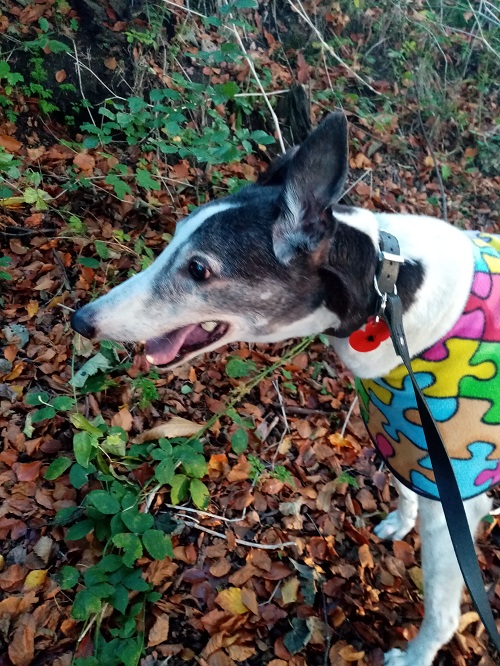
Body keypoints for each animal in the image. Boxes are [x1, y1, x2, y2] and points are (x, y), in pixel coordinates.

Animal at [71, 114, 500, 664]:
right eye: (171, 242)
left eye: (198, 268)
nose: (82, 321)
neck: (391, 290)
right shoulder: (410, 442)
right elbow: (408, 489)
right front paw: (399, 525)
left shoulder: (459, 489)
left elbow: (443, 609)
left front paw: (415, 657)